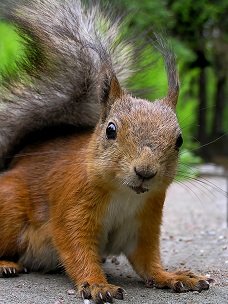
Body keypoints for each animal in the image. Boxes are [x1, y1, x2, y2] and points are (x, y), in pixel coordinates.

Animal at [0, 0, 214, 304]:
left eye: (180, 140)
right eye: (110, 130)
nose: (145, 171)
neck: (124, 194)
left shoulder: (144, 223)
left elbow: (147, 261)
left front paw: (174, 276)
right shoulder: (72, 208)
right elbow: (76, 248)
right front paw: (97, 284)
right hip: (9, 210)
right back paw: (6, 264)